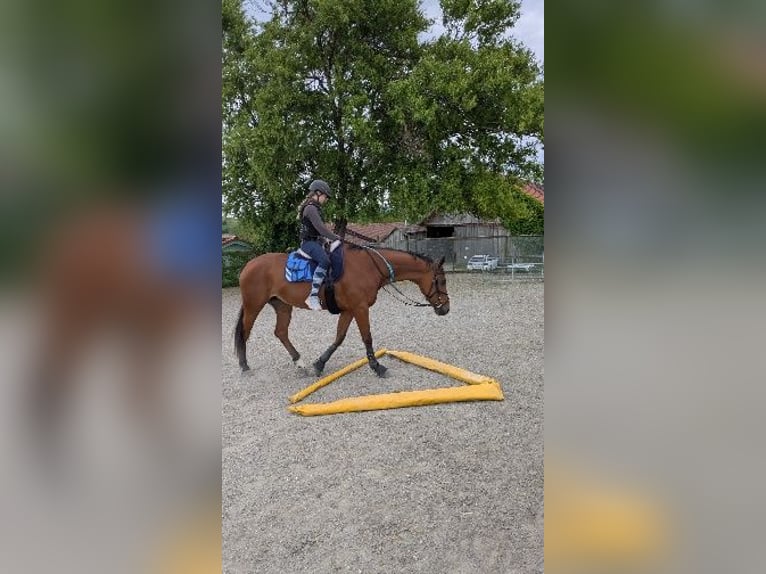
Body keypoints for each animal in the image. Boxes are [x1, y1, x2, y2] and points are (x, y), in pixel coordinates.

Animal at [235, 244, 450, 377]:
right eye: (441, 280)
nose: (446, 308)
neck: (370, 267)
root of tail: (248, 265)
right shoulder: (360, 308)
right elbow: (367, 337)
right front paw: (377, 367)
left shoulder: (349, 310)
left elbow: (339, 337)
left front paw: (319, 364)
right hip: (254, 305)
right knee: (245, 332)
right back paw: (244, 365)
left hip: (283, 306)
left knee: (280, 332)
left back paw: (299, 362)